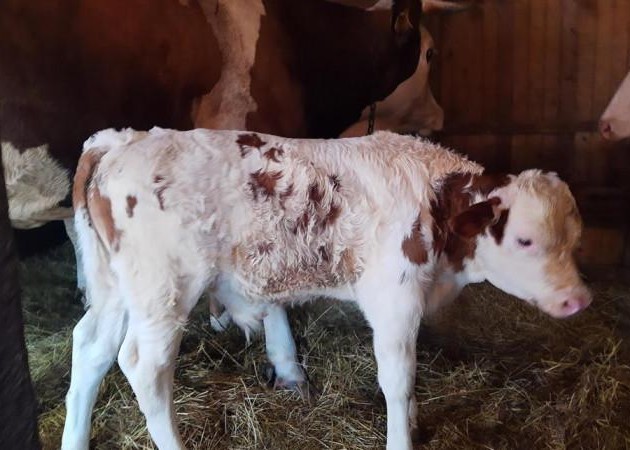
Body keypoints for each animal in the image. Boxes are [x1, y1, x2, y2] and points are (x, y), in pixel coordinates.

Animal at [62, 127, 591, 450]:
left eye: (574, 238)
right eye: (525, 239)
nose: (578, 299)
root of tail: (119, 141)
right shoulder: (394, 295)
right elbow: (399, 378)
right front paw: (402, 436)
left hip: (117, 290)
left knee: (90, 348)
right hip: (164, 288)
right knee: (143, 366)